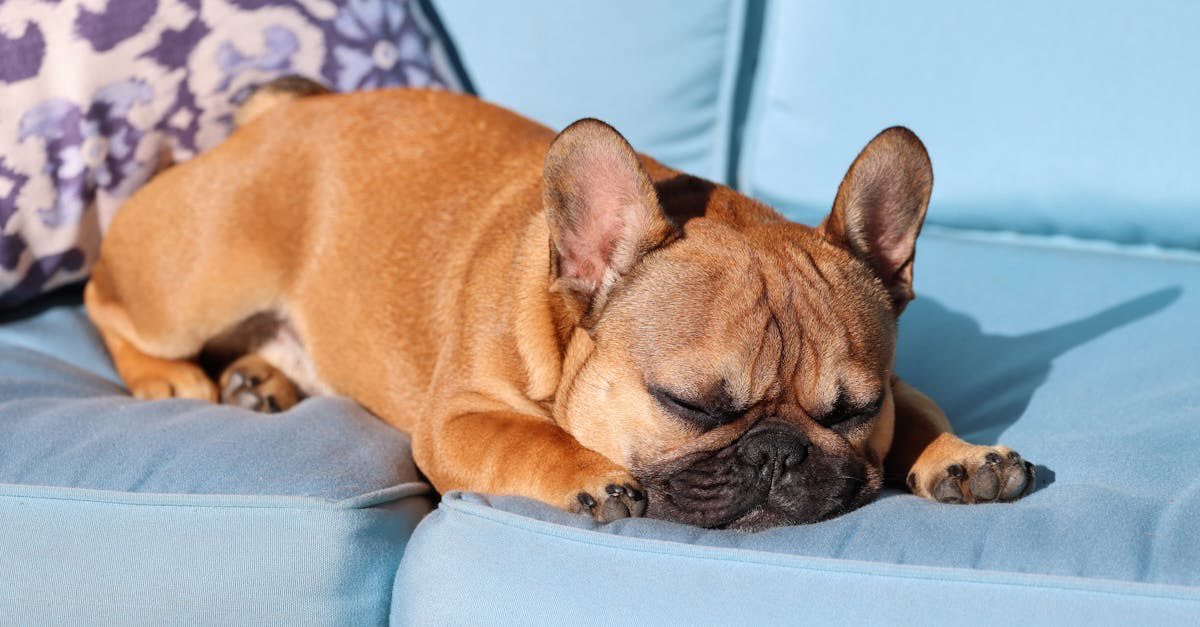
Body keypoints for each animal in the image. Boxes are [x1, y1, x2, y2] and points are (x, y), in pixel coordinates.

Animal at [88, 79, 1036, 526]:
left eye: (851, 413)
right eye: (690, 404)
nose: (778, 453)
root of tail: (281, 115)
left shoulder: (895, 385)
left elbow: (923, 409)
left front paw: (961, 454)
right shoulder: (457, 419)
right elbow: (527, 438)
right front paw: (590, 474)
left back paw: (261, 379)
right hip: (197, 275)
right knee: (107, 296)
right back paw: (170, 378)